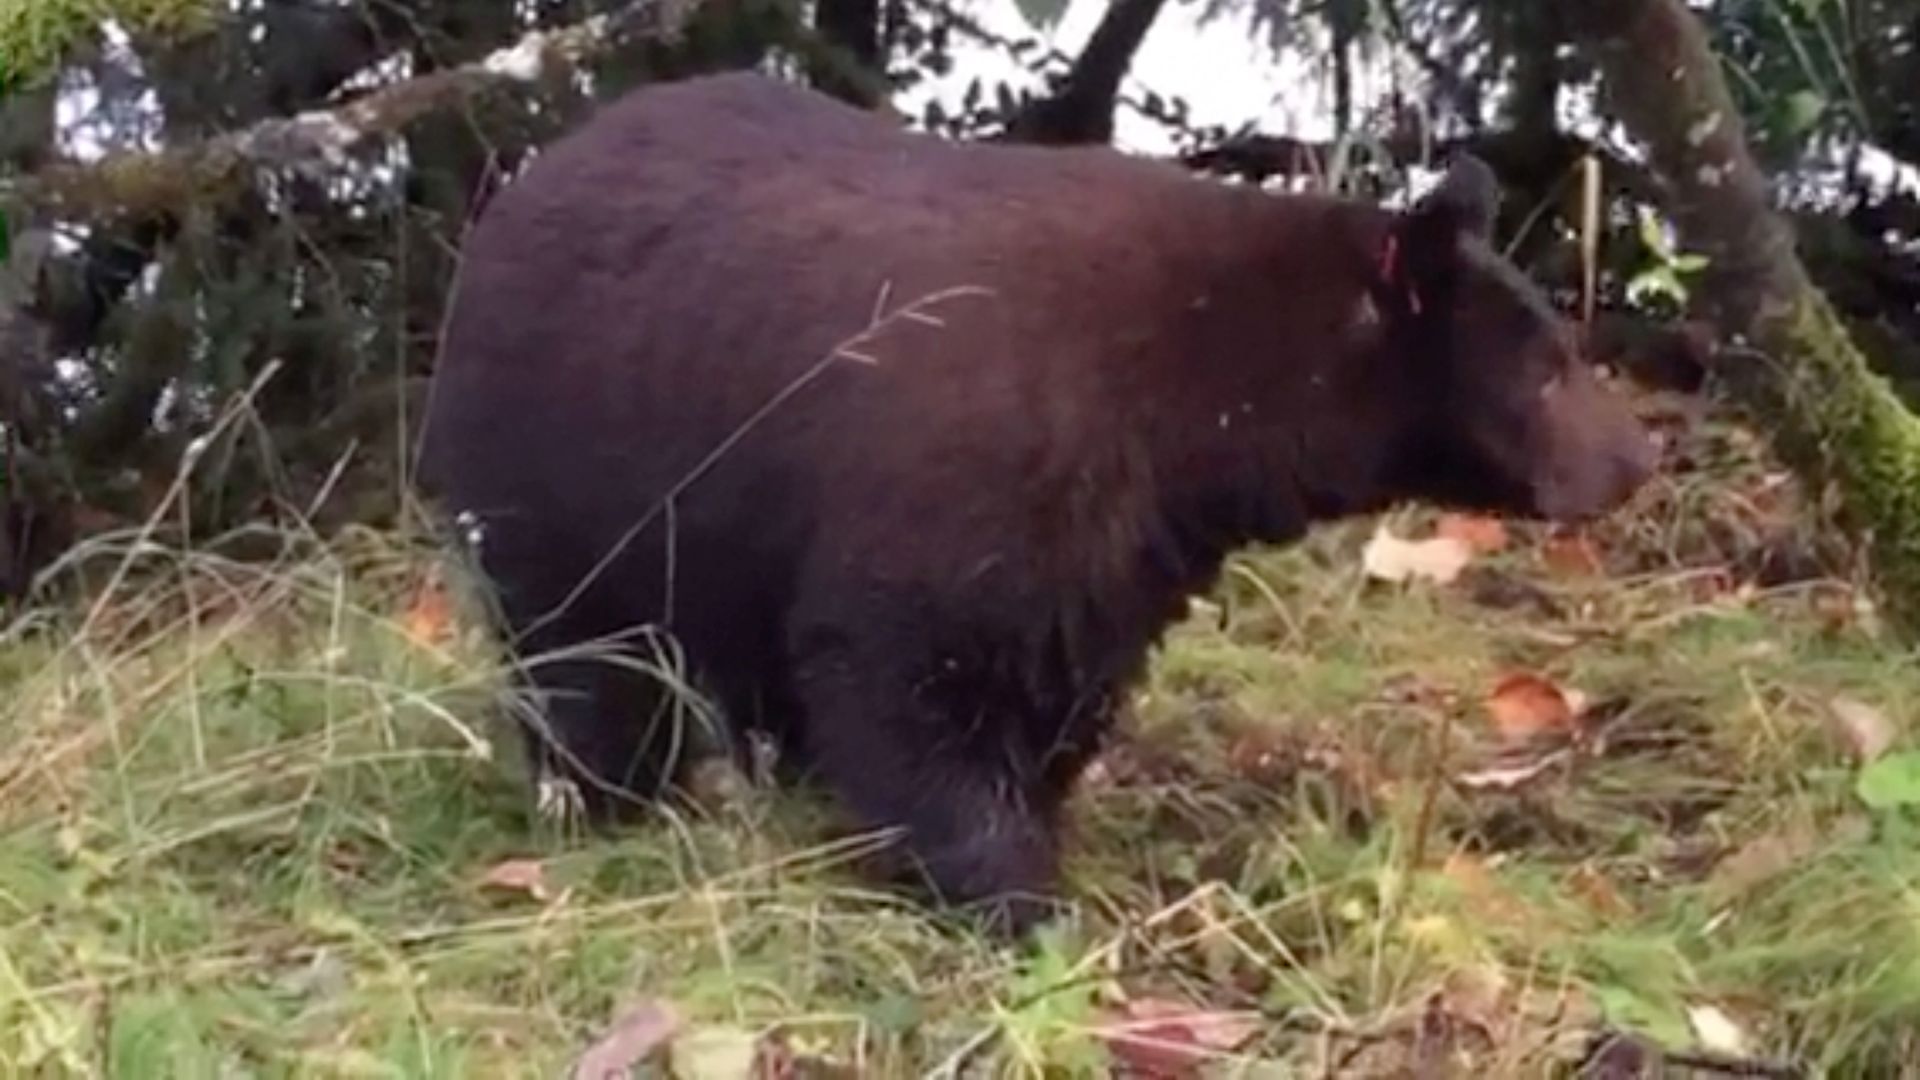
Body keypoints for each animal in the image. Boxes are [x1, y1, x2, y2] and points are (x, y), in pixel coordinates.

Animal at [412, 69, 1658, 926]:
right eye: (1548, 367)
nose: (1640, 454)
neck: (1198, 393)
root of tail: (515, 190)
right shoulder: (975, 483)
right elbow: (916, 684)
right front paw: (1013, 898)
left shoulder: (1115, 550)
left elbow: (1055, 684)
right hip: (555, 486)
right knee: (588, 668)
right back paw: (605, 804)